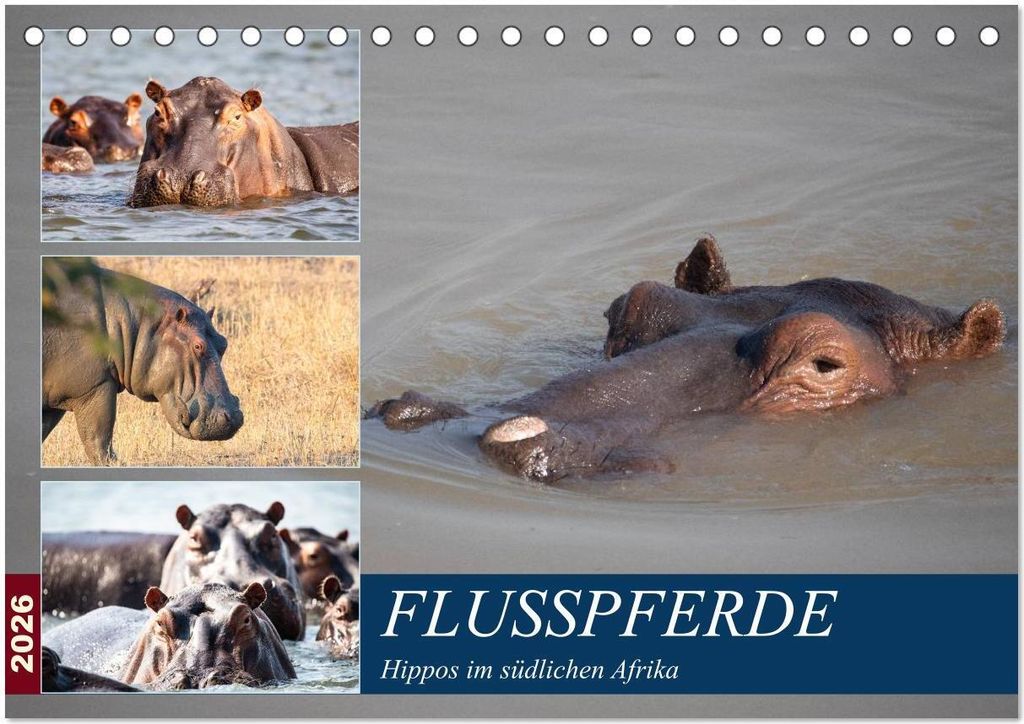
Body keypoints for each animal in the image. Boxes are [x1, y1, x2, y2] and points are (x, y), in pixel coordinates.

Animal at [41, 258, 244, 465]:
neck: (132, 324)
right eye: (198, 346)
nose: (232, 418)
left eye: (224, 342)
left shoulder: (55, 402)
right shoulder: (94, 388)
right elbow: (99, 441)